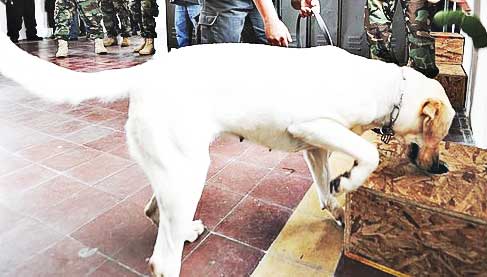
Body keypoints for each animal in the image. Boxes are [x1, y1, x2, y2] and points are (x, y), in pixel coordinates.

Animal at [0, 30, 456, 274]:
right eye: (442, 133)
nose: (441, 168)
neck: (389, 89)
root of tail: (147, 73)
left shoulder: (315, 147)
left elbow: (326, 189)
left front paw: (340, 200)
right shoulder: (314, 125)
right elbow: (367, 153)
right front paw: (351, 179)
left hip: (178, 171)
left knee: (155, 212)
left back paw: (186, 230)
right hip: (189, 171)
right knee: (163, 260)